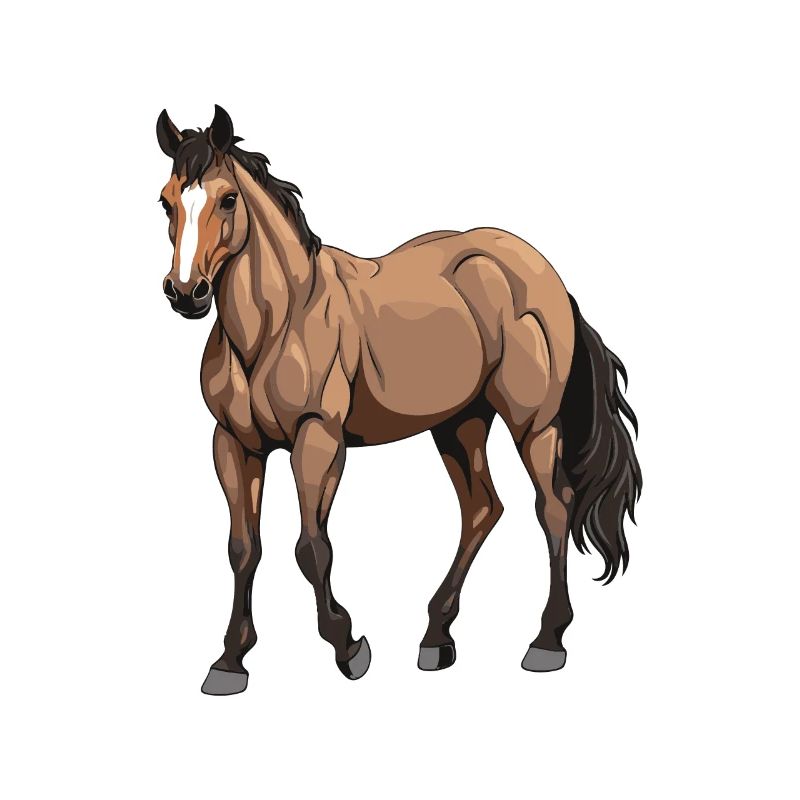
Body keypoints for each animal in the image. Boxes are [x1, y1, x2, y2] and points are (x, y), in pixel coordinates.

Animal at [156, 105, 642, 695]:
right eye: (166, 201)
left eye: (227, 198)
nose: (186, 293)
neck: (278, 321)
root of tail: (544, 275)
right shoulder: (233, 443)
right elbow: (243, 548)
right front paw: (229, 661)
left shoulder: (319, 439)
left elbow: (311, 547)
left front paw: (348, 647)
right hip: (459, 424)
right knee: (482, 508)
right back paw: (436, 637)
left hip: (535, 426)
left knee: (553, 507)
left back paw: (546, 641)